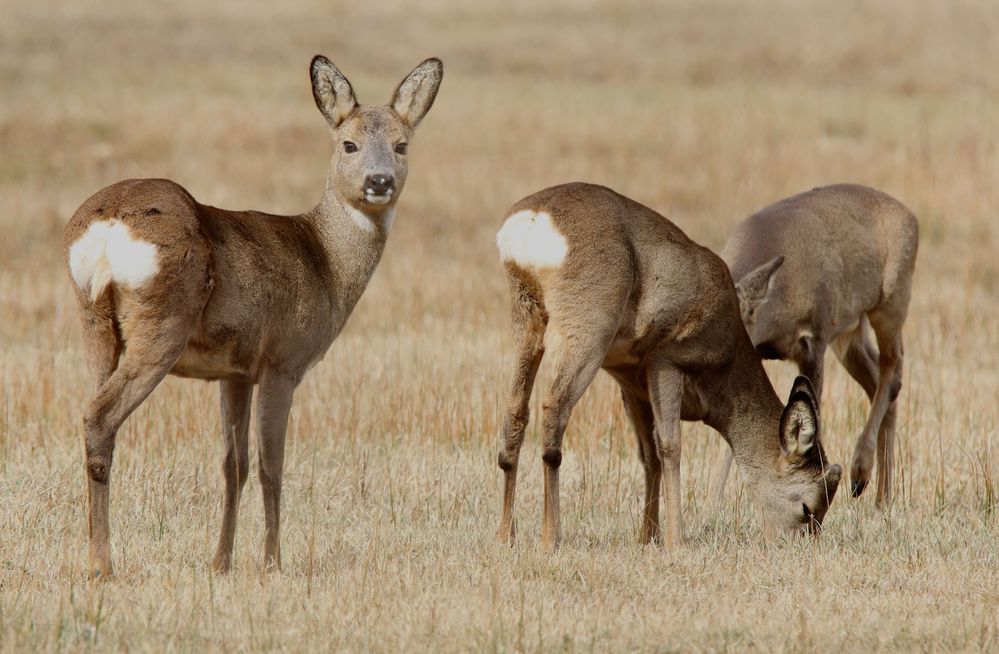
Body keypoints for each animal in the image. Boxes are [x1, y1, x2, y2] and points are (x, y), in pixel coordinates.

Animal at [59, 56, 442, 580]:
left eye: (402, 145)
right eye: (348, 144)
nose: (379, 182)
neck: (324, 261)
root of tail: (106, 227)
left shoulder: (234, 370)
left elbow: (232, 464)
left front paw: (220, 562)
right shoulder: (282, 362)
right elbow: (269, 465)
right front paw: (272, 563)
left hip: (94, 325)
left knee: (92, 417)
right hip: (160, 326)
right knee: (100, 417)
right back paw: (102, 566)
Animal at [492, 182, 844, 552]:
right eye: (808, 508)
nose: (800, 548)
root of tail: (533, 219)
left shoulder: (631, 383)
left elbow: (649, 456)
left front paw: (648, 536)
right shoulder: (666, 360)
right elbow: (671, 447)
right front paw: (676, 540)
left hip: (527, 320)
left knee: (515, 413)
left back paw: (505, 534)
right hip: (587, 330)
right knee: (554, 409)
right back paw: (551, 538)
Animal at [712, 184, 920, 508]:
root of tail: (912, 217)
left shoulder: (815, 338)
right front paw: (713, 504)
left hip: (892, 300)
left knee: (893, 368)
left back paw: (861, 474)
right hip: (850, 332)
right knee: (878, 379)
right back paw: (882, 498)